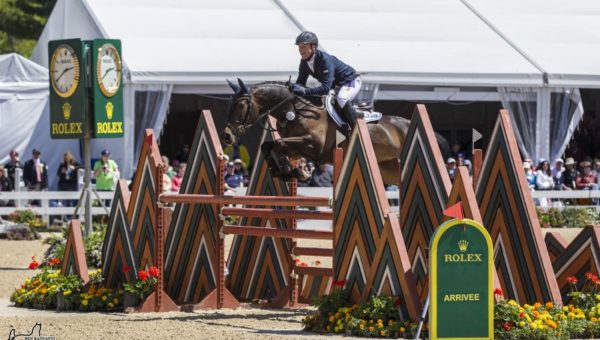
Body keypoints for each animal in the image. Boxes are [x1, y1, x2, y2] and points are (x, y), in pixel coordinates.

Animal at [223, 79, 448, 186]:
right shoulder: (295, 148)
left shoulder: (313, 147)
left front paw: (294, 171)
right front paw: (287, 171)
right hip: (388, 169)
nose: (226, 135)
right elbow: (268, 145)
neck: (293, 111)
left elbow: (277, 144)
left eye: (241, 106)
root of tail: (405, 123)